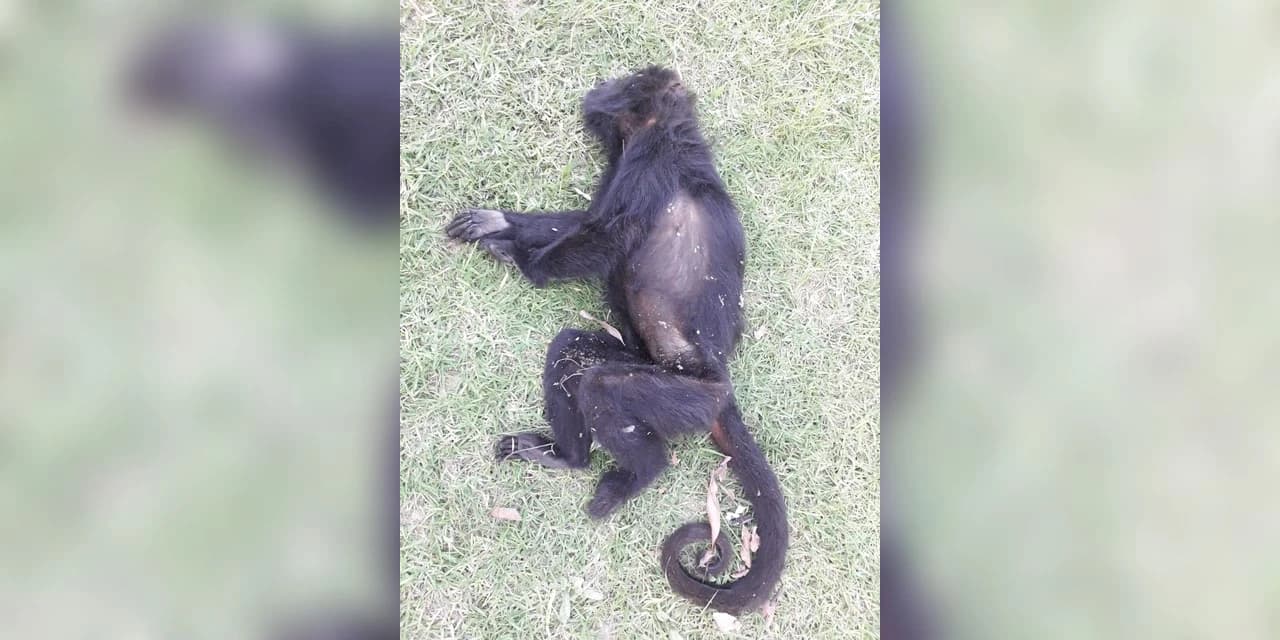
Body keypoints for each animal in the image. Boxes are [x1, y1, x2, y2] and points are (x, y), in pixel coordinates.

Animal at [446, 66, 787, 615]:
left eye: (622, 82)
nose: (599, 86)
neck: (669, 133)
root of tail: (720, 379)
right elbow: (585, 221)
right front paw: (499, 221)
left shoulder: (651, 163)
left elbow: (606, 234)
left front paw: (520, 258)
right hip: (638, 358)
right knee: (569, 350)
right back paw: (567, 456)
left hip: (686, 396)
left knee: (603, 388)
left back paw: (639, 473)